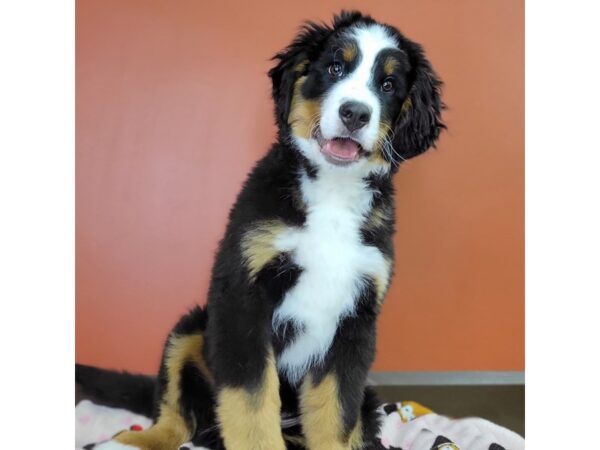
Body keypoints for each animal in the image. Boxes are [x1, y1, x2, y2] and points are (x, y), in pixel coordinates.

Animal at [97, 9, 446, 450]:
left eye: (388, 84)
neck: (332, 194)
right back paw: (131, 440)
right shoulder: (244, 297)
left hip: (366, 396)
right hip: (190, 329)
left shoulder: (355, 320)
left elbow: (335, 413)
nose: (354, 113)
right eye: (335, 67)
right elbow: (251, 403)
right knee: (176, 415)